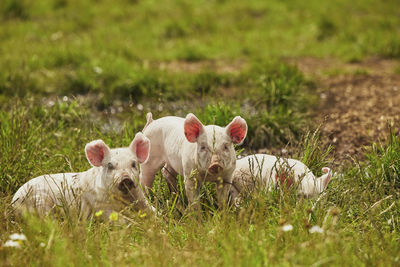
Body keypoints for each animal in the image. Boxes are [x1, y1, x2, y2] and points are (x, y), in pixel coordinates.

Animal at [11, 133, 152, 219]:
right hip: (40, 202)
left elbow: (152, 210)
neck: (125, 200)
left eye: (133, 164)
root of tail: (14, 199)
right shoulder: (100, 207)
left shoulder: (141, 198)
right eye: (110, 165)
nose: (125, 178)